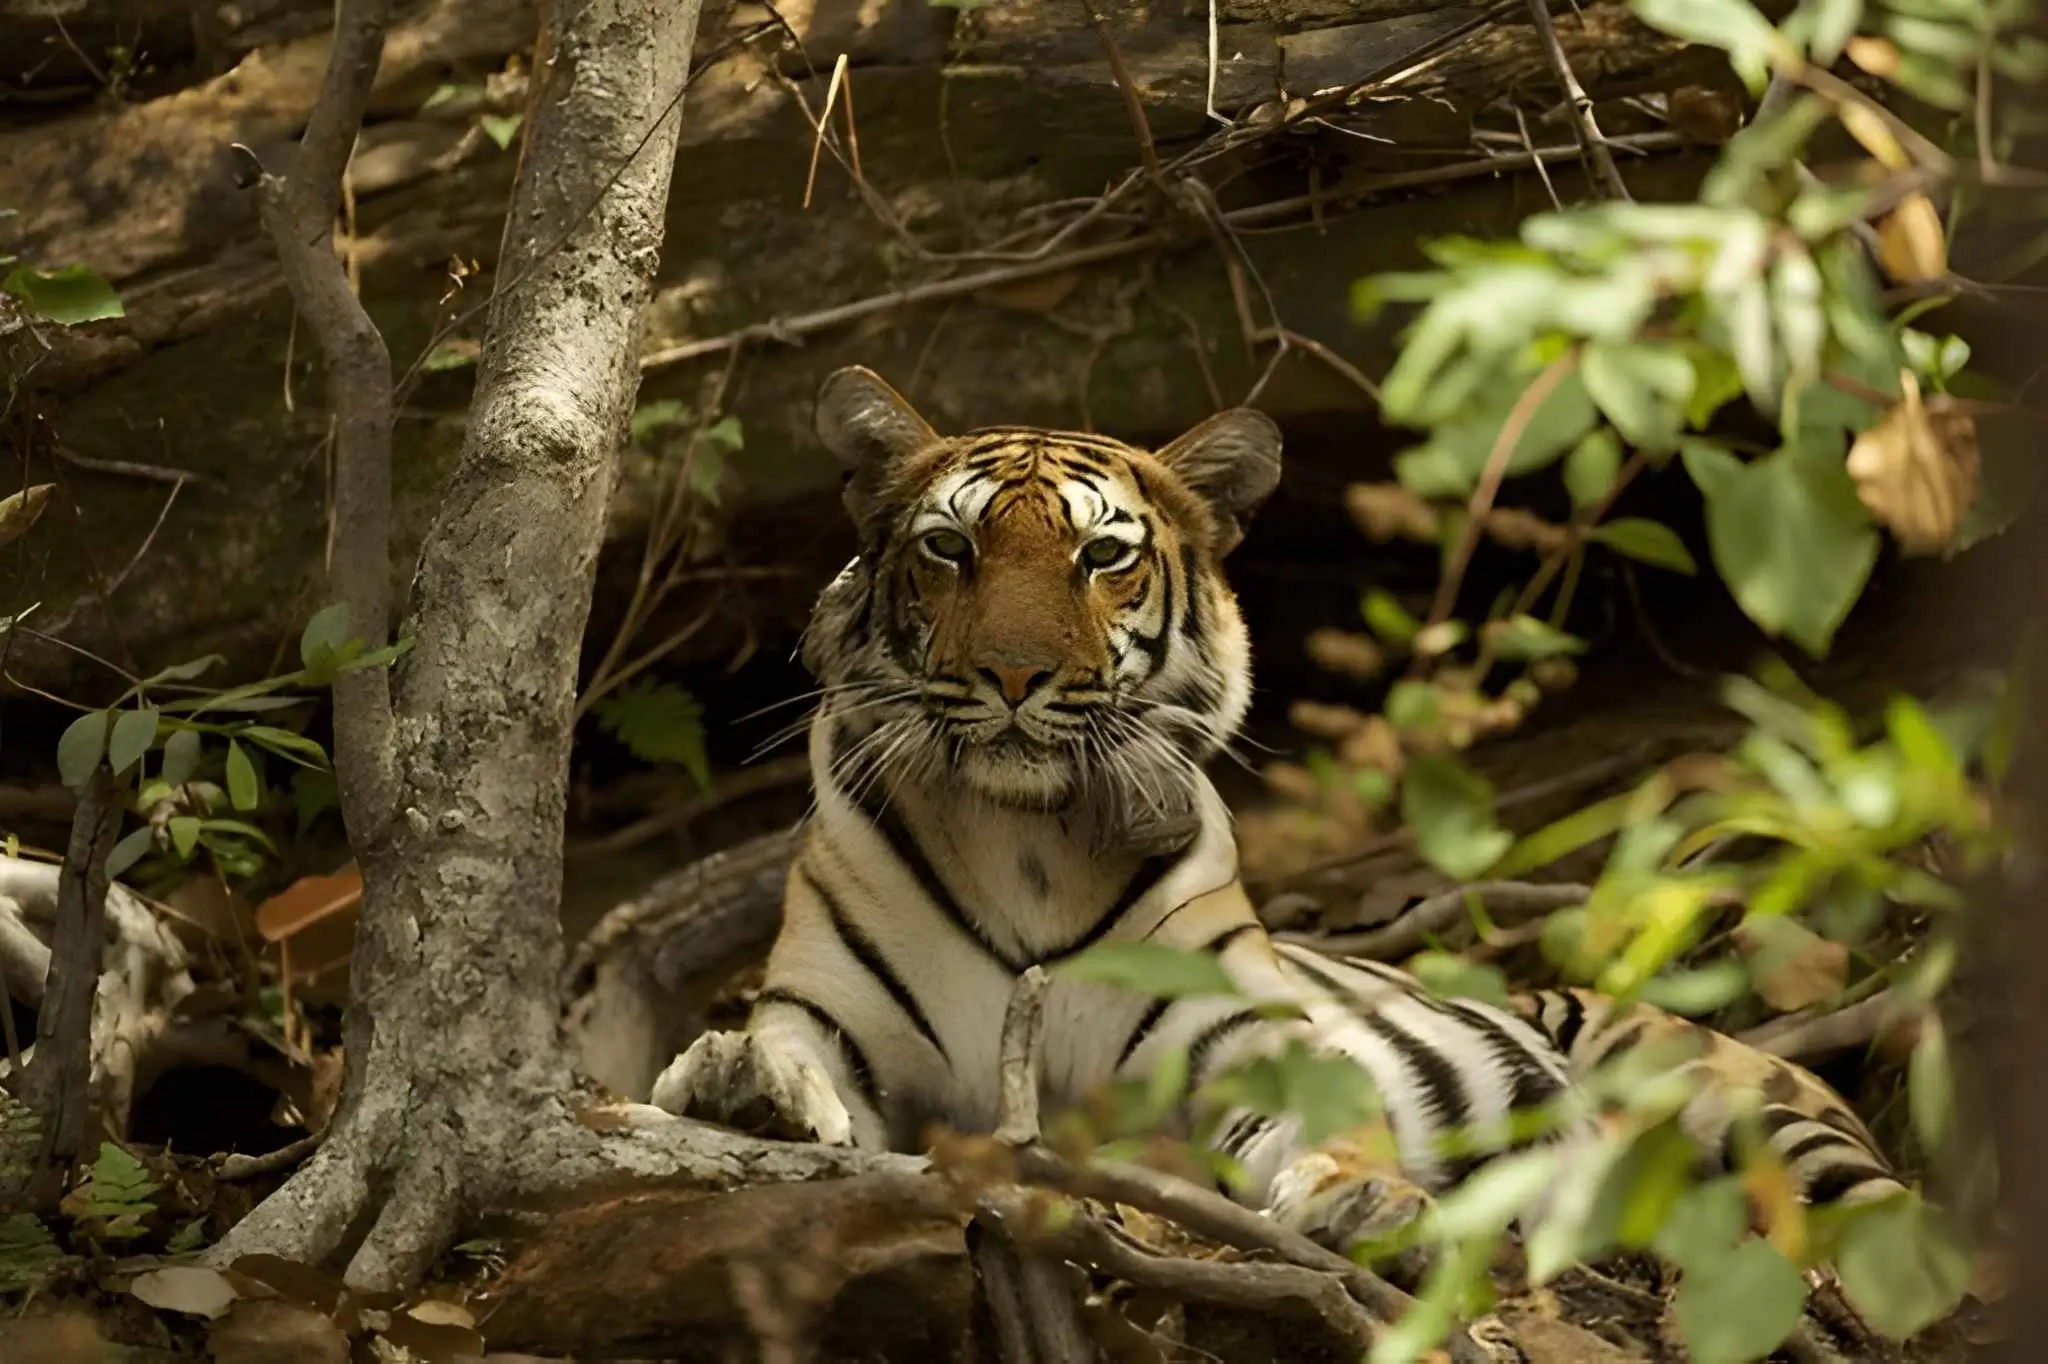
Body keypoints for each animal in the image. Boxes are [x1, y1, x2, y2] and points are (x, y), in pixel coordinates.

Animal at [650, 364, 1905, 1268]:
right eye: (948, 547)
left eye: (1102, 554)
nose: (1011, 675)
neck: (1023, 835)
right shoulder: (836, 1014)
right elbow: (785, 1049)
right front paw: (741, 1081)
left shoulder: (1234, 1034)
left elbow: (1324, 1106)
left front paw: (1359, 1192)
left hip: (1747, 1101)